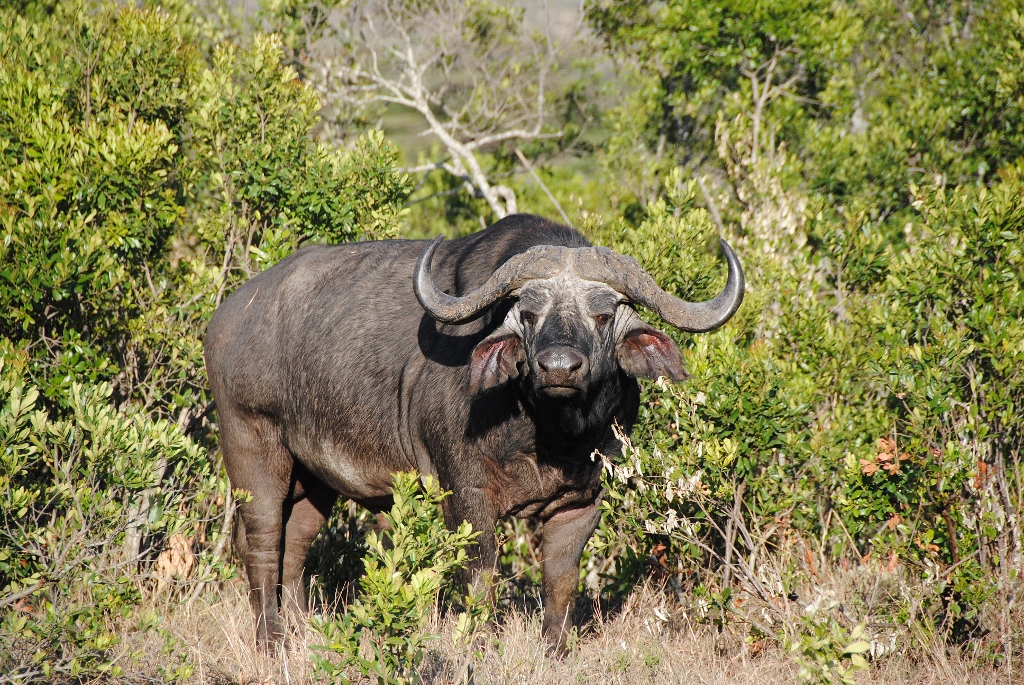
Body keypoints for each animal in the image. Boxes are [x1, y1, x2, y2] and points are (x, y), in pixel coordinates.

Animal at [204, 214, 743, 649]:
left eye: (603, 314)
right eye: (529, 314)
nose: (559, 367)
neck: (548, 436)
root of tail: (228, 314)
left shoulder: (582, 502)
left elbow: (561, 579)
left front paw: (555, 649)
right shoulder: (465, 494)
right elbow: (480, 576)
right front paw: (476, 644)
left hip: (315, 478)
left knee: (296, 542)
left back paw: (302, 630)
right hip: (252, 446)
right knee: (263, 539)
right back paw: (272, 640)